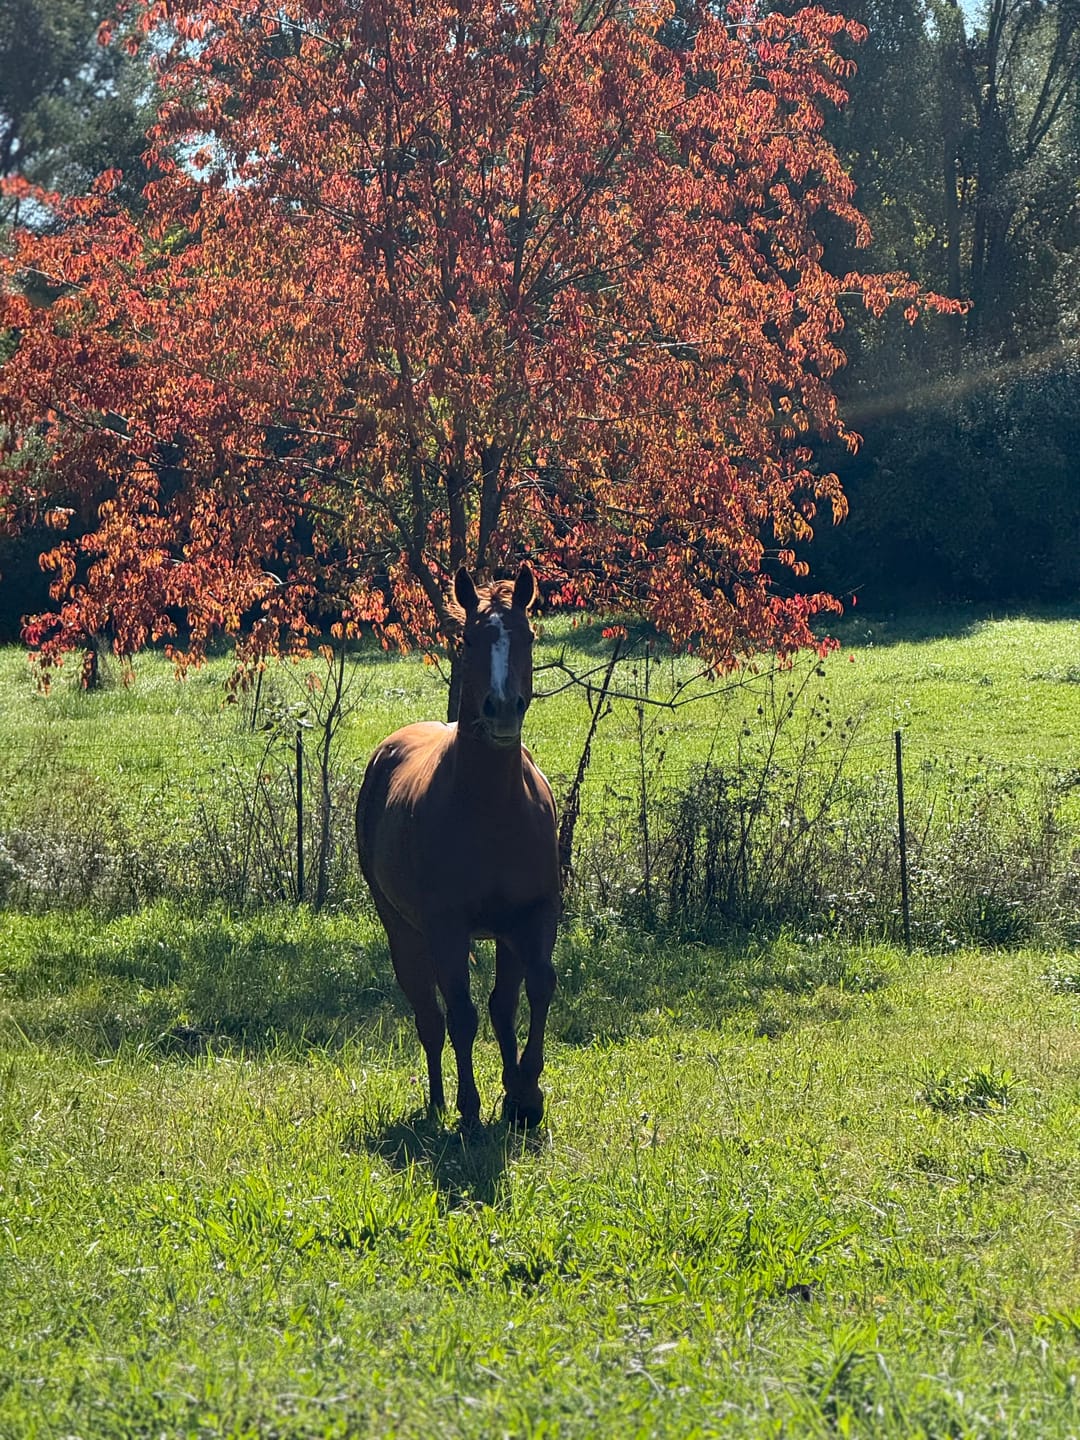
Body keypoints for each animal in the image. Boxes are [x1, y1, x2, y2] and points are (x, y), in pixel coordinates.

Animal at [356, 564, 560, 1128]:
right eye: (469, 639)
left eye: (528, 637)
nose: (502, 710)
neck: (492, 809)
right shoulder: (446, 928)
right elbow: (462, 1016)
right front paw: (471, 1109)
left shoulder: (535, 914)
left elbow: (535, 989)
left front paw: (525, 1094)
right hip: (403, 929)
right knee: (430, 1014)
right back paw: (439, 1102)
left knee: (499, 1006)